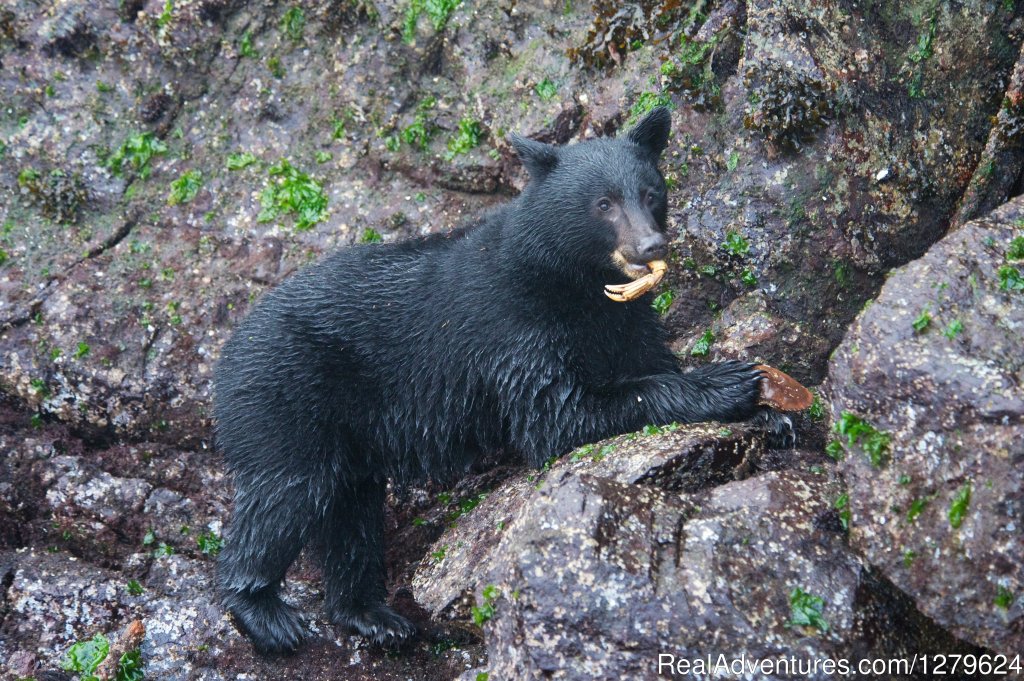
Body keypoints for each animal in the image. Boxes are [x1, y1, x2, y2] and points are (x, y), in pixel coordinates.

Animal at [214, 107, 790, 655]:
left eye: (652, 193)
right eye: (603, 203)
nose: (649, 245)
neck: (573, 282)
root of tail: (225, 357)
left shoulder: (624, 321)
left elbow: (646, 362)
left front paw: (773, 412)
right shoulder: (515, 330)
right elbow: (558, 415)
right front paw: (728, 382)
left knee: (349, 514)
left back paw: (373, 616)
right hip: (284, 399)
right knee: (285, 494)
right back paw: (263, 613)